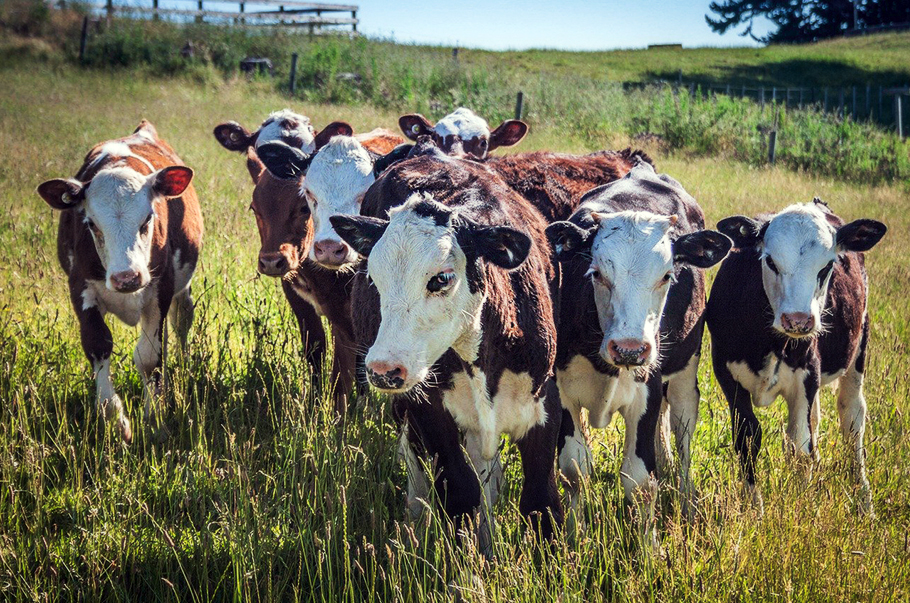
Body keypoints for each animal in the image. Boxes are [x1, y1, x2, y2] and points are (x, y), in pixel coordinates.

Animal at [37, 121, 203, 444]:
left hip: (181, 290)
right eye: (91, 223)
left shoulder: (160, 289)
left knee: (181, 322)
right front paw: (116, 421)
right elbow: (97, 343)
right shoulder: (80, 288)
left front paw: (154, 420)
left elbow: (149, 356)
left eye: (148, 219)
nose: (127, 277)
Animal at [332, 150, 568, 552]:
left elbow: (541, 503)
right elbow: (461, 492)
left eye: (441, 278)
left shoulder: (543, 402)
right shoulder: (428, 410)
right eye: (372, 278)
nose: (383, 370)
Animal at [544, 159, 732, 528]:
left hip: (684, 371)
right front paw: (575, 535)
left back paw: (686, 501)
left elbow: (640, 482)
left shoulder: (647, 388)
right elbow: (574, 469)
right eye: (597, 273)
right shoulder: (561, 390)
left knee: (683, 430)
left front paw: (649, 542)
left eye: (667, 276)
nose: (629, 348)